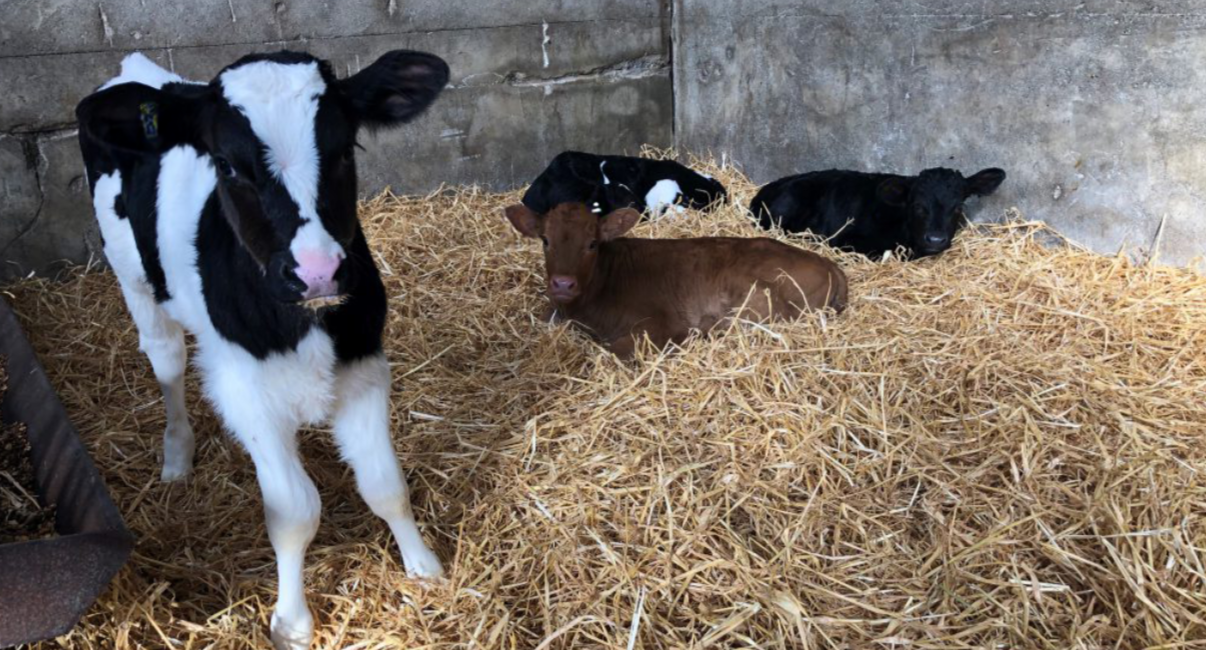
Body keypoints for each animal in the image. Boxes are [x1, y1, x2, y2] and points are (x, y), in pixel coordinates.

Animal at [76, 50, 449, 649]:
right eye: (227, 165)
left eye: (345, 148)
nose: (318, 271)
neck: (303, 324)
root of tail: (140, 70)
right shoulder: (246, 394)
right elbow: (295, 513)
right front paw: (292, 622)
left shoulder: (364, 367)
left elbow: (385, 485)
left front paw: (423, 567)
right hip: (133, 279)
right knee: (167, 362)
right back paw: (176, 454)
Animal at [504, 202, 847, 359]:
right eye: (545, 240)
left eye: (592, 244)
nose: (563, 283)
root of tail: (827, 261)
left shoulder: (660, 325)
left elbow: (616, 348)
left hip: (757, 295)